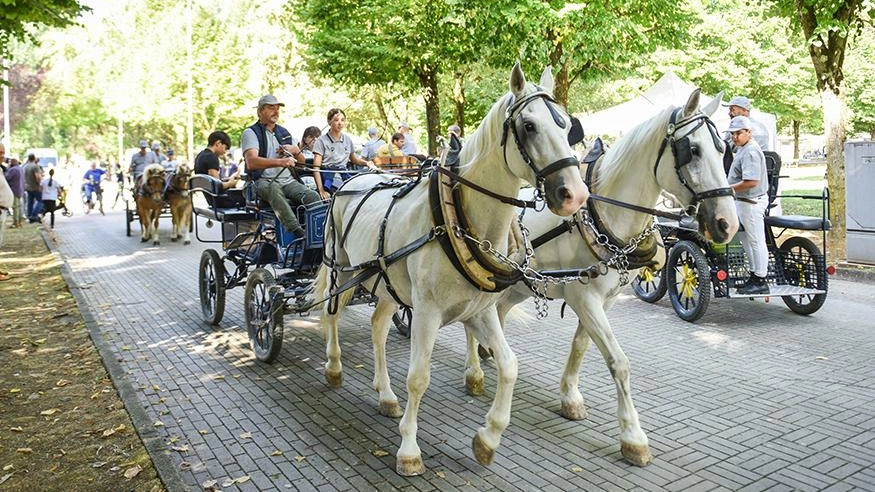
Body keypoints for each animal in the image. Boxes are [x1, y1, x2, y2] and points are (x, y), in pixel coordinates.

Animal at [314, 63, 588, 474]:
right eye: (528, 126)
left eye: (567, 126)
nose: (575, 194)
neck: (456, 218)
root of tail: (354, 178)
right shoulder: (426, 313)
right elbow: (418, 378)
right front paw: (409, 449)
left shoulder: (480, 311)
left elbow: (509, 366)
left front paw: (488, 438)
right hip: (342, 269)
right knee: (331, 316)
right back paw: (333, 368)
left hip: (386, 284)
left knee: (378, 328)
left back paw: (385, 393)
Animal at [466, 87, 740, 466]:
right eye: (693, 150)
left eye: (723, 149)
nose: (727, 224)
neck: (604, 215)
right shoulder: (585, 298)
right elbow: (618, 362)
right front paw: (633, 437)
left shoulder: (603, 300)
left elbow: (581, 345)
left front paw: (569, 397)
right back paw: (474, 373)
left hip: (519, 283)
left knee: (499, 313)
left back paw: (489, 352)